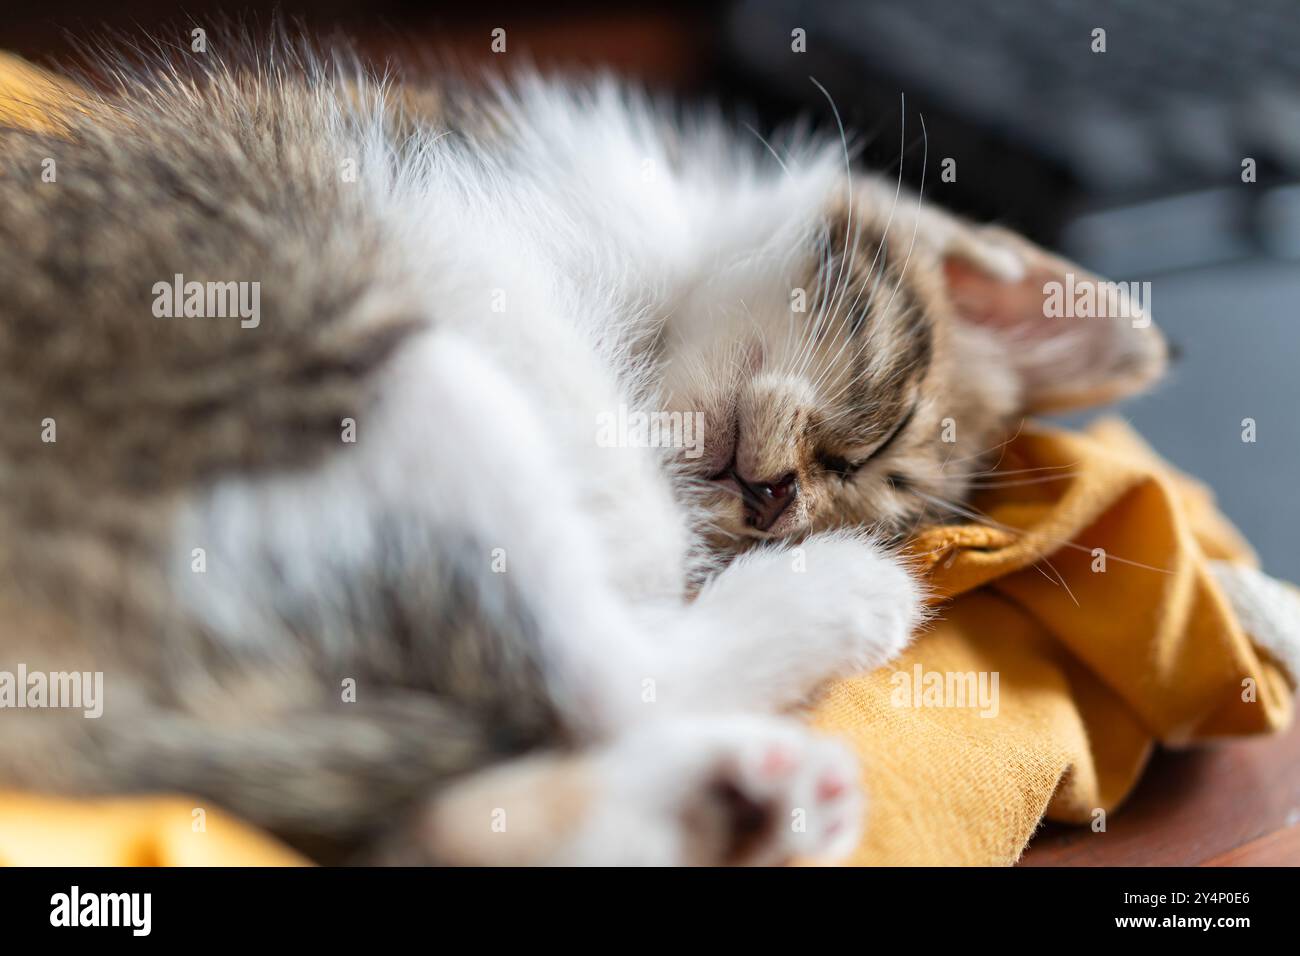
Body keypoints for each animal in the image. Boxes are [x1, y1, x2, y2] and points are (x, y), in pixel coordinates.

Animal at [0, 42, 1159, 868]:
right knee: (603, 677)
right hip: (355, 346)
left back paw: (733, 798)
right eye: (882, 430)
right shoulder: (448, 228)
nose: (775, 502)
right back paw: (840, 606)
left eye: (864, 477)